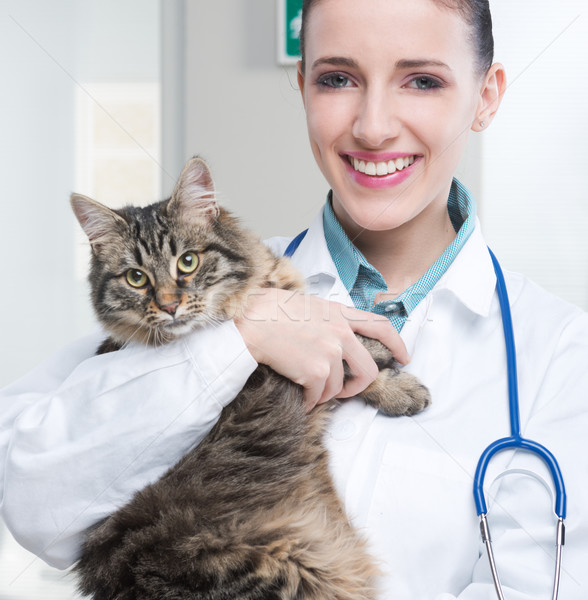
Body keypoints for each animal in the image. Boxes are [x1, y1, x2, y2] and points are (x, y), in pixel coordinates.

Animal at [71, 157, 430, 596]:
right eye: (136, 278)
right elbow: (351, 352)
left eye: (187, 262)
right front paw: (391, 371)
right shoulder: (289, 374)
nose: (170, 306)